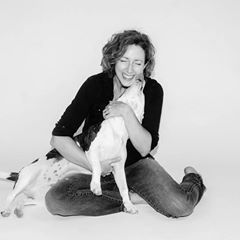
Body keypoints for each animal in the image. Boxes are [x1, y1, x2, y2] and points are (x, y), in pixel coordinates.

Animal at [0, 78, 144, 217]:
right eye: (124, 92)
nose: (140, 79)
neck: (118, 128)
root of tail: (19, 173)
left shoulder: (118, 167)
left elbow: (124, 188)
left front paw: (129, 205)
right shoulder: (91, 149)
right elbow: (97, 166)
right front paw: (96, 186)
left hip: (40, 198)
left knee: (22, 200)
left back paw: (19, 210)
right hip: (27, 177)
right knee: (11, 196)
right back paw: (6, 210)